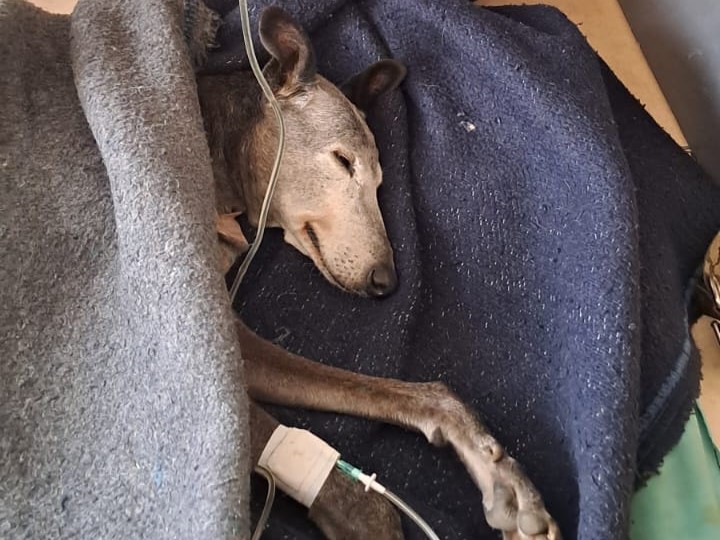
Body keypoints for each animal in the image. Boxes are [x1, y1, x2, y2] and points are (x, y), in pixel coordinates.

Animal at [197, 7, 561, 540]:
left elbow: (427, 393)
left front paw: (503, 480)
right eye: (342, 160)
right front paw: (363, 516)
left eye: (382, 182)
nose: (387, 282)